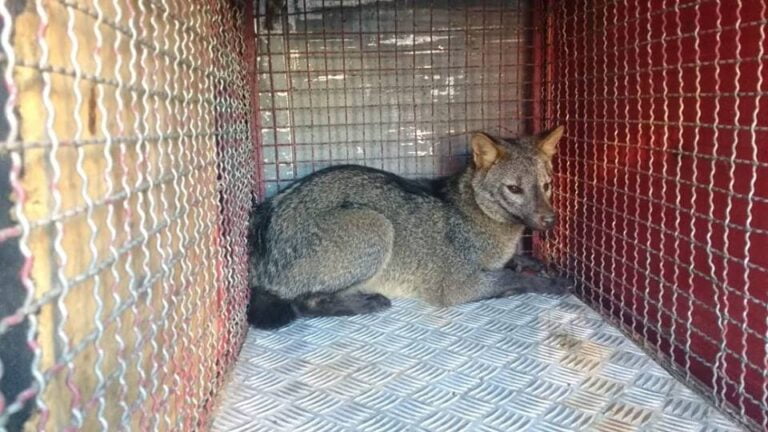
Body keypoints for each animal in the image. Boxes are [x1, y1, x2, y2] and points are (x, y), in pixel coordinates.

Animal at [246, 126, 569, 329]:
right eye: (514, 189)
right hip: (376, 225)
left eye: (547, 186)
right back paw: (365, 303)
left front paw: (533, 263)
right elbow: (511, 279)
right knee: (302, 303)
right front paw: (550, 283)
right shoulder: (455, 287)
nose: (550, 220)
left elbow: (513, 264)